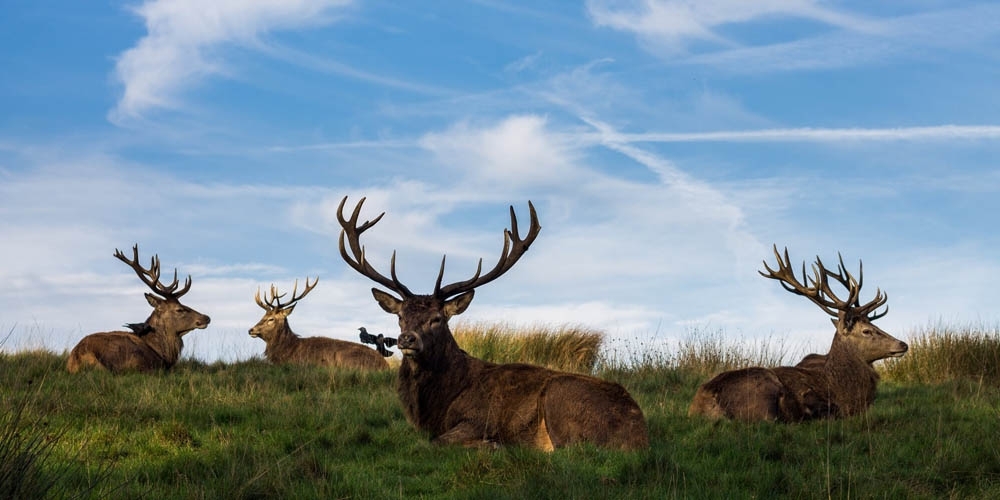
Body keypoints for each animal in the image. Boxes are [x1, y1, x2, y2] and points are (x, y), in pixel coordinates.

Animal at [336, 197, 648, 452]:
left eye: (437, 319)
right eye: (400, 316)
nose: (406, 339)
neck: (435, 406)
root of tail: (640, 435)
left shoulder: (478, 418)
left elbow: (437, 441)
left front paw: (492, 444)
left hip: (561, 399)